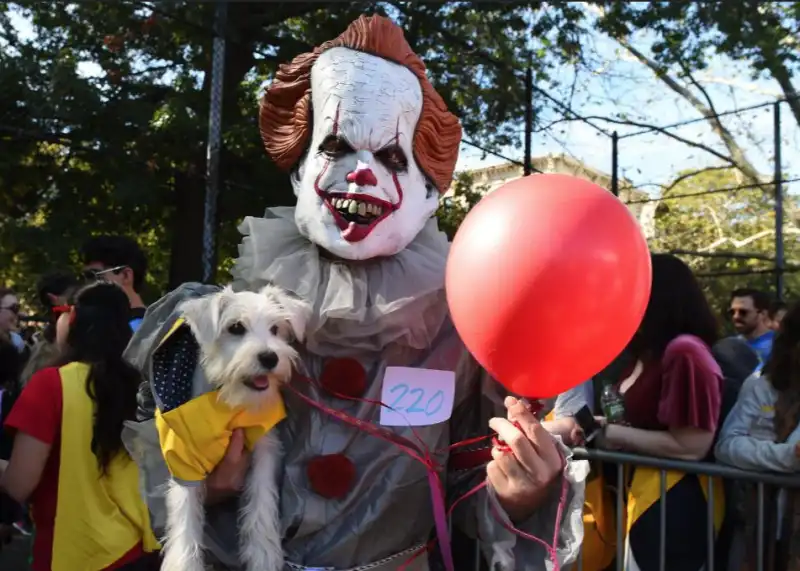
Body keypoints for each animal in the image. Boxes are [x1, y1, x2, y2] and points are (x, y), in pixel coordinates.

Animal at [161, 286, 310, 571]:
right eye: (236, 327)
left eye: (275, 328)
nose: (270, 357)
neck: (230, 407)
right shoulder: (186, 462)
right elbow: (186, 518)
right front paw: (184, 563)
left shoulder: (264, 449)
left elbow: (261, 501)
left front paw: (263, 554)